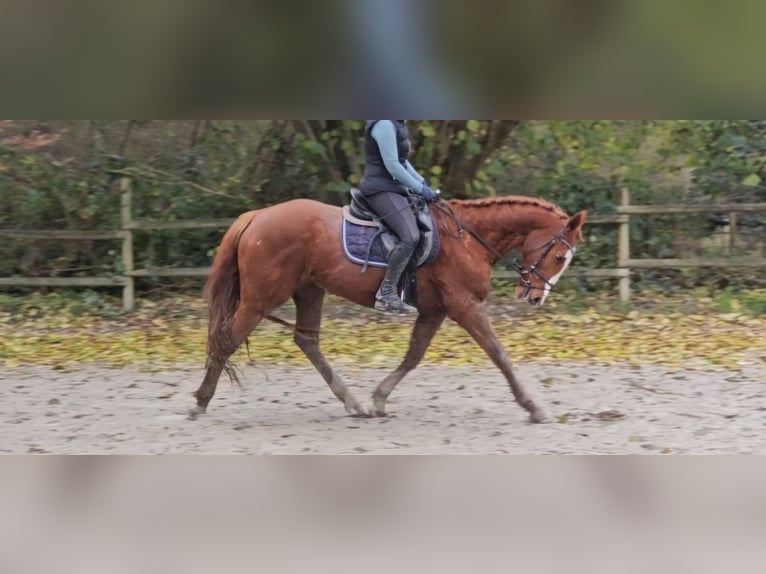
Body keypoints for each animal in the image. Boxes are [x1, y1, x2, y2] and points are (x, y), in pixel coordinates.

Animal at [192, 196, 588, 426]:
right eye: (559, 257)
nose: (534, 298)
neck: (468, 238)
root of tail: (256, 216)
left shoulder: (434, 311)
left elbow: (414, 355)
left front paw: (380, 398)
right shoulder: (465, 307)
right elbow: (500, 355)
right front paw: (533, 407)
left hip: (309, 291)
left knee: (307, 341)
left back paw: (352, 403)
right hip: (260, 299)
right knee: (227, 340)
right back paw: (200, 401)